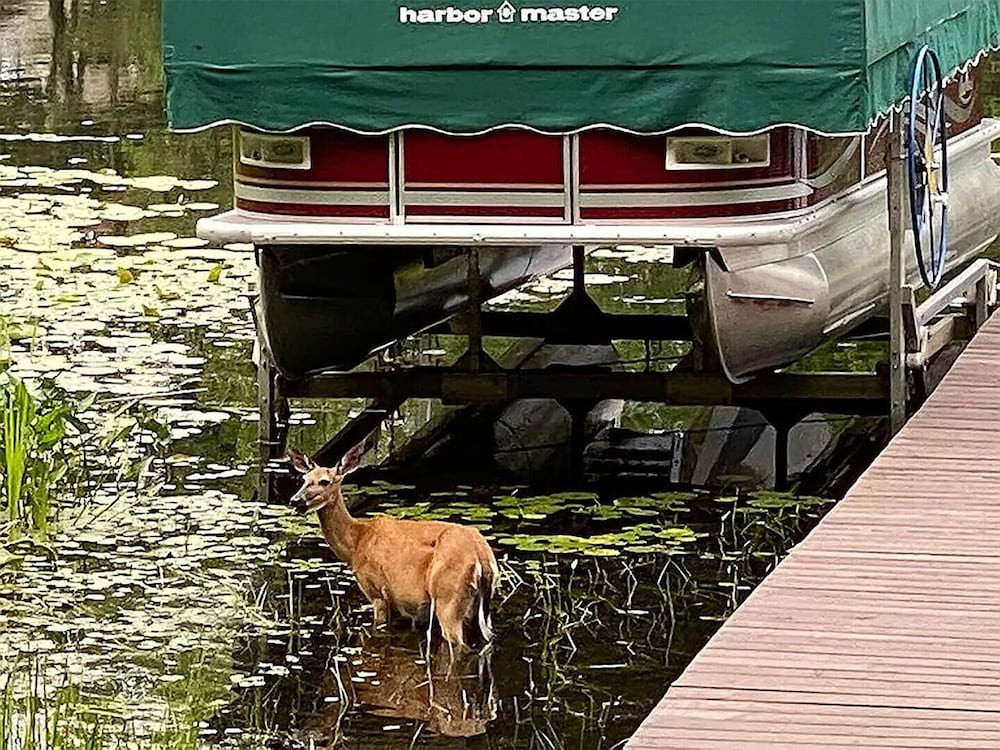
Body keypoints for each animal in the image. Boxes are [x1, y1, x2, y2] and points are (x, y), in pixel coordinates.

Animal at [288, 444, 498, 654]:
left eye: (324, 481)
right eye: (303, 479)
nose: (295, 500)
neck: (356, 543)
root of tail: (482, 556)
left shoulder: (377, 592)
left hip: (447, 598)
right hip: (477, 608)